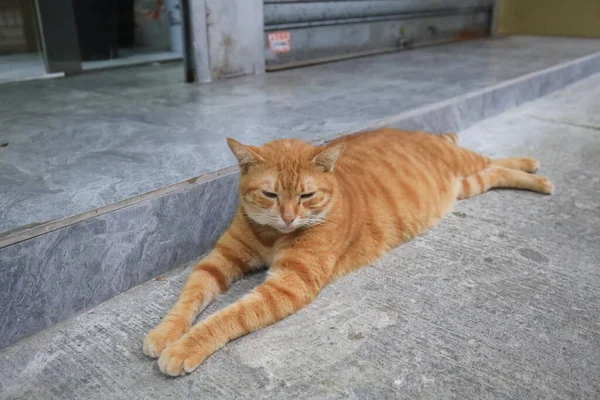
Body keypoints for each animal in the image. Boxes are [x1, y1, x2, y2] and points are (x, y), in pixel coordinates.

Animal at [142, 127, 552, 376]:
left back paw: (535, 169)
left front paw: (185, 347)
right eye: (271, 194)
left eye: (306, 195)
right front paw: (166, 333)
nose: (289, 217)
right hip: (466, 185)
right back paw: (533, 174)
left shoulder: (288, 284)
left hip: (463, 163)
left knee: (491, 158)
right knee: (494, 172)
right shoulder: (218, 261)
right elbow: (189, 298)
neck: (273, 235)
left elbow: (225, 317)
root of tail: (415, 131)